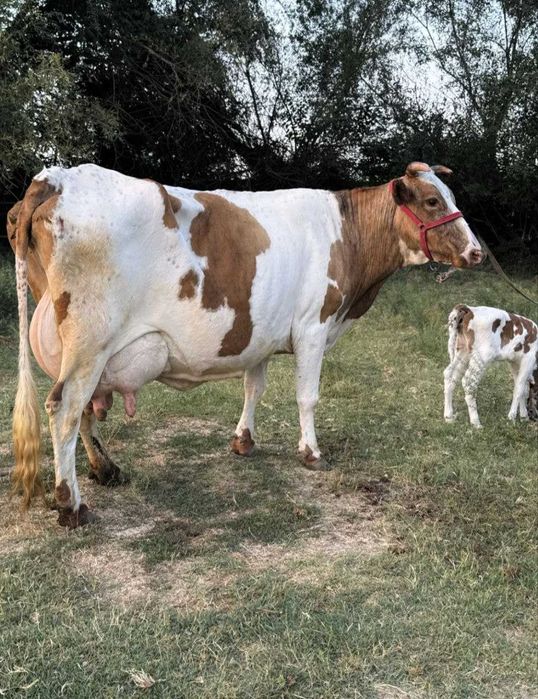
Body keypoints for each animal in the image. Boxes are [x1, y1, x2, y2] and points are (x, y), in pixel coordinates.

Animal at [8, 161, 484, 527]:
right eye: (433, 201)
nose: (477, 252)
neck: (346, 233)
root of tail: (56, 177)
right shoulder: (313, 327)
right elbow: (307, 396)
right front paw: (311, 452)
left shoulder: (261, 332)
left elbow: (253, 387)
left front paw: (244, 441)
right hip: (91, 341)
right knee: (65, 409)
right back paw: (71, 504)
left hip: (79, 349)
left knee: (83, 410)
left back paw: (105, 471)